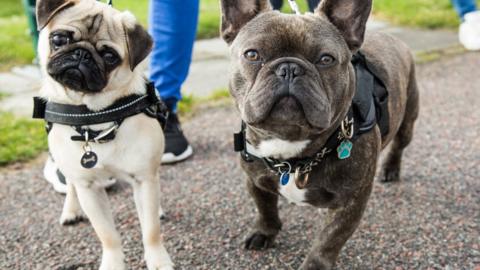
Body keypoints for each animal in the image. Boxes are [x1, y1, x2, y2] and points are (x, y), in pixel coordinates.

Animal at [219, 0, 418, 268]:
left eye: (326, 59)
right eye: (252, 54)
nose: (289, 68)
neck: (291, 152)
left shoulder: (351, 202)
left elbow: (329, 240)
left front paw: (315, 264)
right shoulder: (254, 181)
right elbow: (265, 209)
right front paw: (264, 232)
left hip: (408, 119)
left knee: (399, 145)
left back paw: (390, 168)